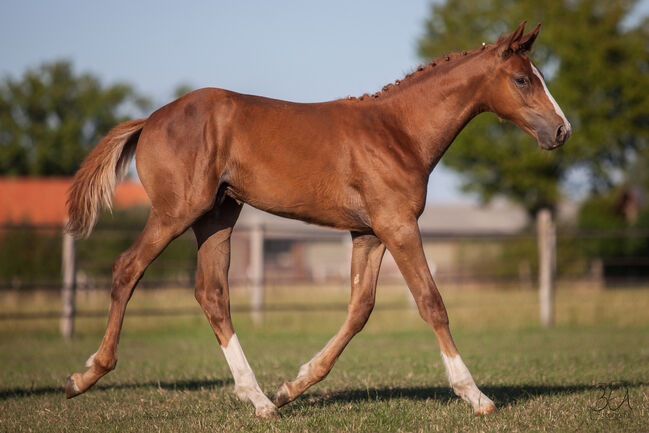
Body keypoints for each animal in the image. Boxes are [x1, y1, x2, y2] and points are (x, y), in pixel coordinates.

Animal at [64, 22, 572, 416]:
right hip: (177, 211)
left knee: (212, 295)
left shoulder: (368, 233)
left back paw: (259, 399)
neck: (398, 132)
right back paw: (85, 375)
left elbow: (359, 309)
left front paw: (293, 386)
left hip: (217, 216)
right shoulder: (399, 226)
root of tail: (150, 119)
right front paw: (475, 395)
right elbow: (431, 302)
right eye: (523, 80)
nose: (562, 130)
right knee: (128, 268)